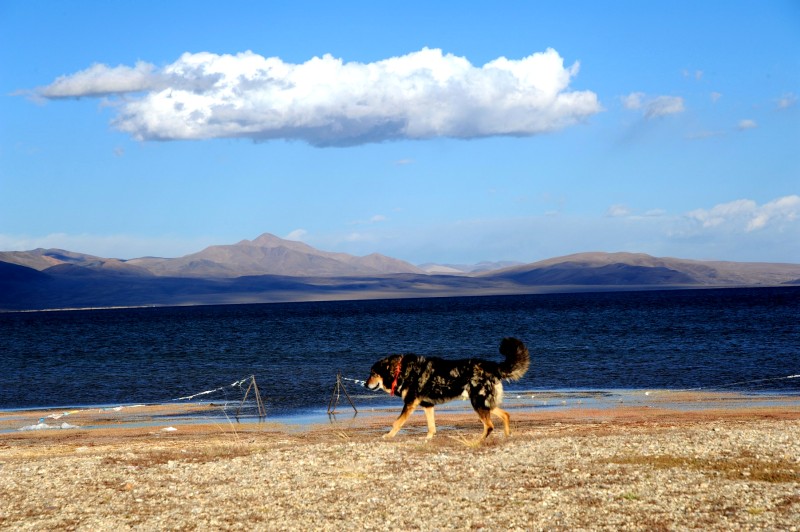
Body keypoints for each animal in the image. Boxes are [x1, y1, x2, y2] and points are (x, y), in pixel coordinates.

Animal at [366, 338, 529, 440]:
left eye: (373, 373)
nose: (365, 384)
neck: (400, 370)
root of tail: (492, 366)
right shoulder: (428, 405)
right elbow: (431, 427)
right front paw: (428, 438)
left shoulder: (410, 404)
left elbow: (397, 422)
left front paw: (389, 435)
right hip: (485, 402)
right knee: (505, 415)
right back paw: (506, 436)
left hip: (478, 402)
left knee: (489, 426)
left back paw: (477, 441)